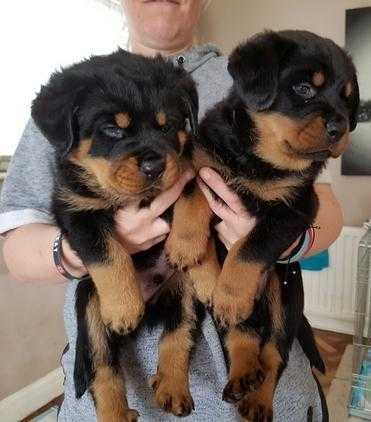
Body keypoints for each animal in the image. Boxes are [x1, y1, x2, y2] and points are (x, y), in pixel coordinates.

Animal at [30, 52, 211, 422]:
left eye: (167, 125)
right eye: (113, 129)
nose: (155, 166)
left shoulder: (185, 165)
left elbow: (192, 188)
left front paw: (186, 245)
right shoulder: (76, 211)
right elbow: (108, 253)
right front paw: (125, 307)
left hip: (185, 290)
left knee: (178, 335)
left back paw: (172, 388)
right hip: (90, 310)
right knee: (103, 370)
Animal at [169, 29, 360, 418]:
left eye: (347, 99)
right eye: (304, 88)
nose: (341, 127)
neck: (256, 159)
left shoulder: (295, 210)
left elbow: (249, 247)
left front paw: (230, 292)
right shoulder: (203, 164)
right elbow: (193, 195)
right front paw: (184, 244)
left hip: (282, 299)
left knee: (273, 353)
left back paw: (257, 401)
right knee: (242, 335)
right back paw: (242, 378)